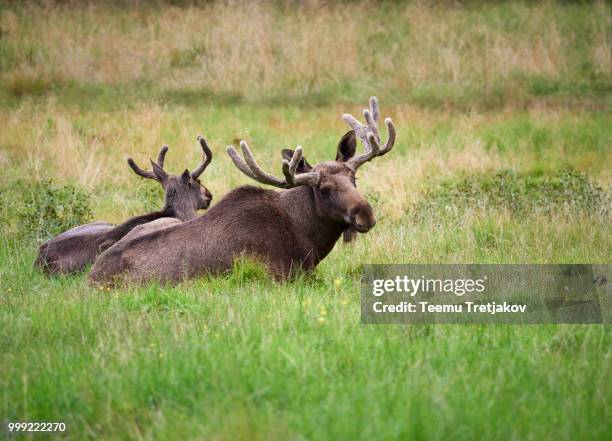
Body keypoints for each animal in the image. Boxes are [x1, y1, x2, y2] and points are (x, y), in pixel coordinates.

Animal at [91, 97, 396, 284]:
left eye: (354, 178)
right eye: (323, 189)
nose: (365, 215)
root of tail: (91, 278)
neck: (306, 238)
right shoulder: (275, 275)